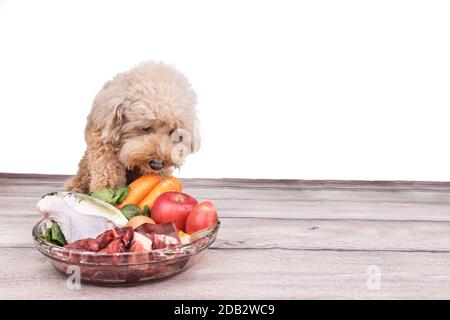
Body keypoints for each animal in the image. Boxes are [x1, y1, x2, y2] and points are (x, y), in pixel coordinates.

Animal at [66, 62, 200, 192]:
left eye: (173, 132)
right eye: (146, 128)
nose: (157, 165)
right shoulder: (103, 144)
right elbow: (108, 171)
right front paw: (107, 192)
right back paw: (76, 186)